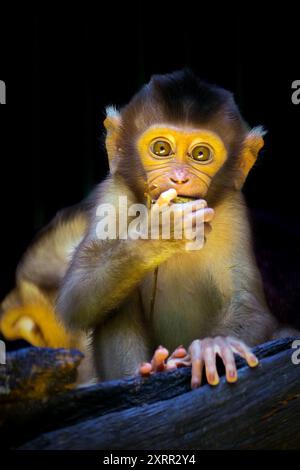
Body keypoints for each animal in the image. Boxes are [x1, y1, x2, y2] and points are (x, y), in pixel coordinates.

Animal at [56, 69, 282, 386]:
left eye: (200, 154)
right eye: (161, 149)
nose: (179, 178)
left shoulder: (232, 210)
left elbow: (247, 303)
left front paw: (215, 346)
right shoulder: (114, 192)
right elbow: (76, 293)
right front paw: (159, 234)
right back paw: (152, 368)